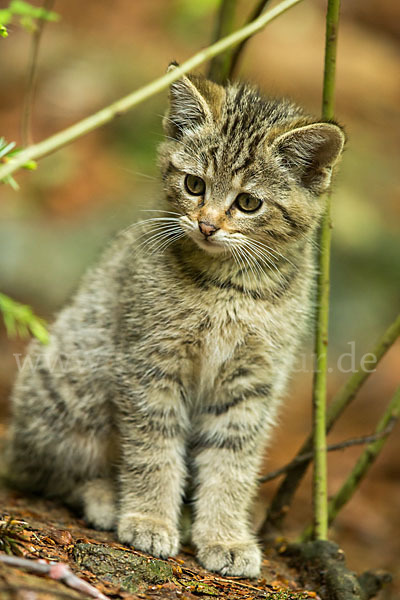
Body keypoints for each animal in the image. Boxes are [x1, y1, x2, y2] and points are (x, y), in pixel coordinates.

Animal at [5, 68, 344, 580]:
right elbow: (153, 448)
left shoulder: (251, 382)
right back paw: (106, 496)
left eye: (248, 202)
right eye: (194, 185)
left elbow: (233, 463)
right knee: (42, 469)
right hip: (74, 383)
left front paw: (224, 536)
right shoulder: (150, 364)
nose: (206, 225)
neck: (229, 288)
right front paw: (148, 518)